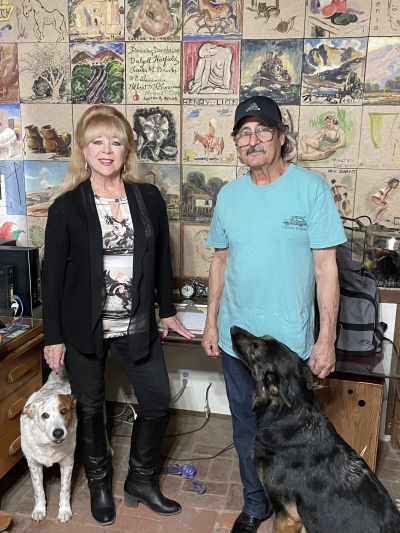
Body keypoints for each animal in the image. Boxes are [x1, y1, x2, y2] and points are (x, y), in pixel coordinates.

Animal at [20, 366, 77, 524]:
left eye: (63, 411)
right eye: (45, 415)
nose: (58, 433)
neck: (49, 446)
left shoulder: (67, 462)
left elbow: (64, 490)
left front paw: (64, 511)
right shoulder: (34, 464)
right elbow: (38, 490)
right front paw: (39, 510)